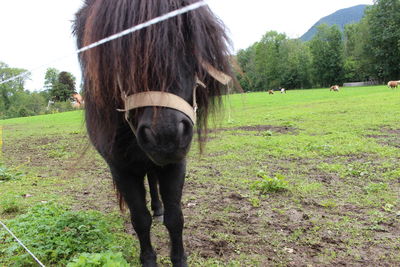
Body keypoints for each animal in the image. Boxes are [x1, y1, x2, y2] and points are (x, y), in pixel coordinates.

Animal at [74, 0, 233, 267]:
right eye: (120, 52)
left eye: (187, 42)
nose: (166, 137)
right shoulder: (121, 168)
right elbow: (140, 219)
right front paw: (148, 259)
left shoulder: (176, 163)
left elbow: (175, 217)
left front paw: (179, 258)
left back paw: (158, 207)